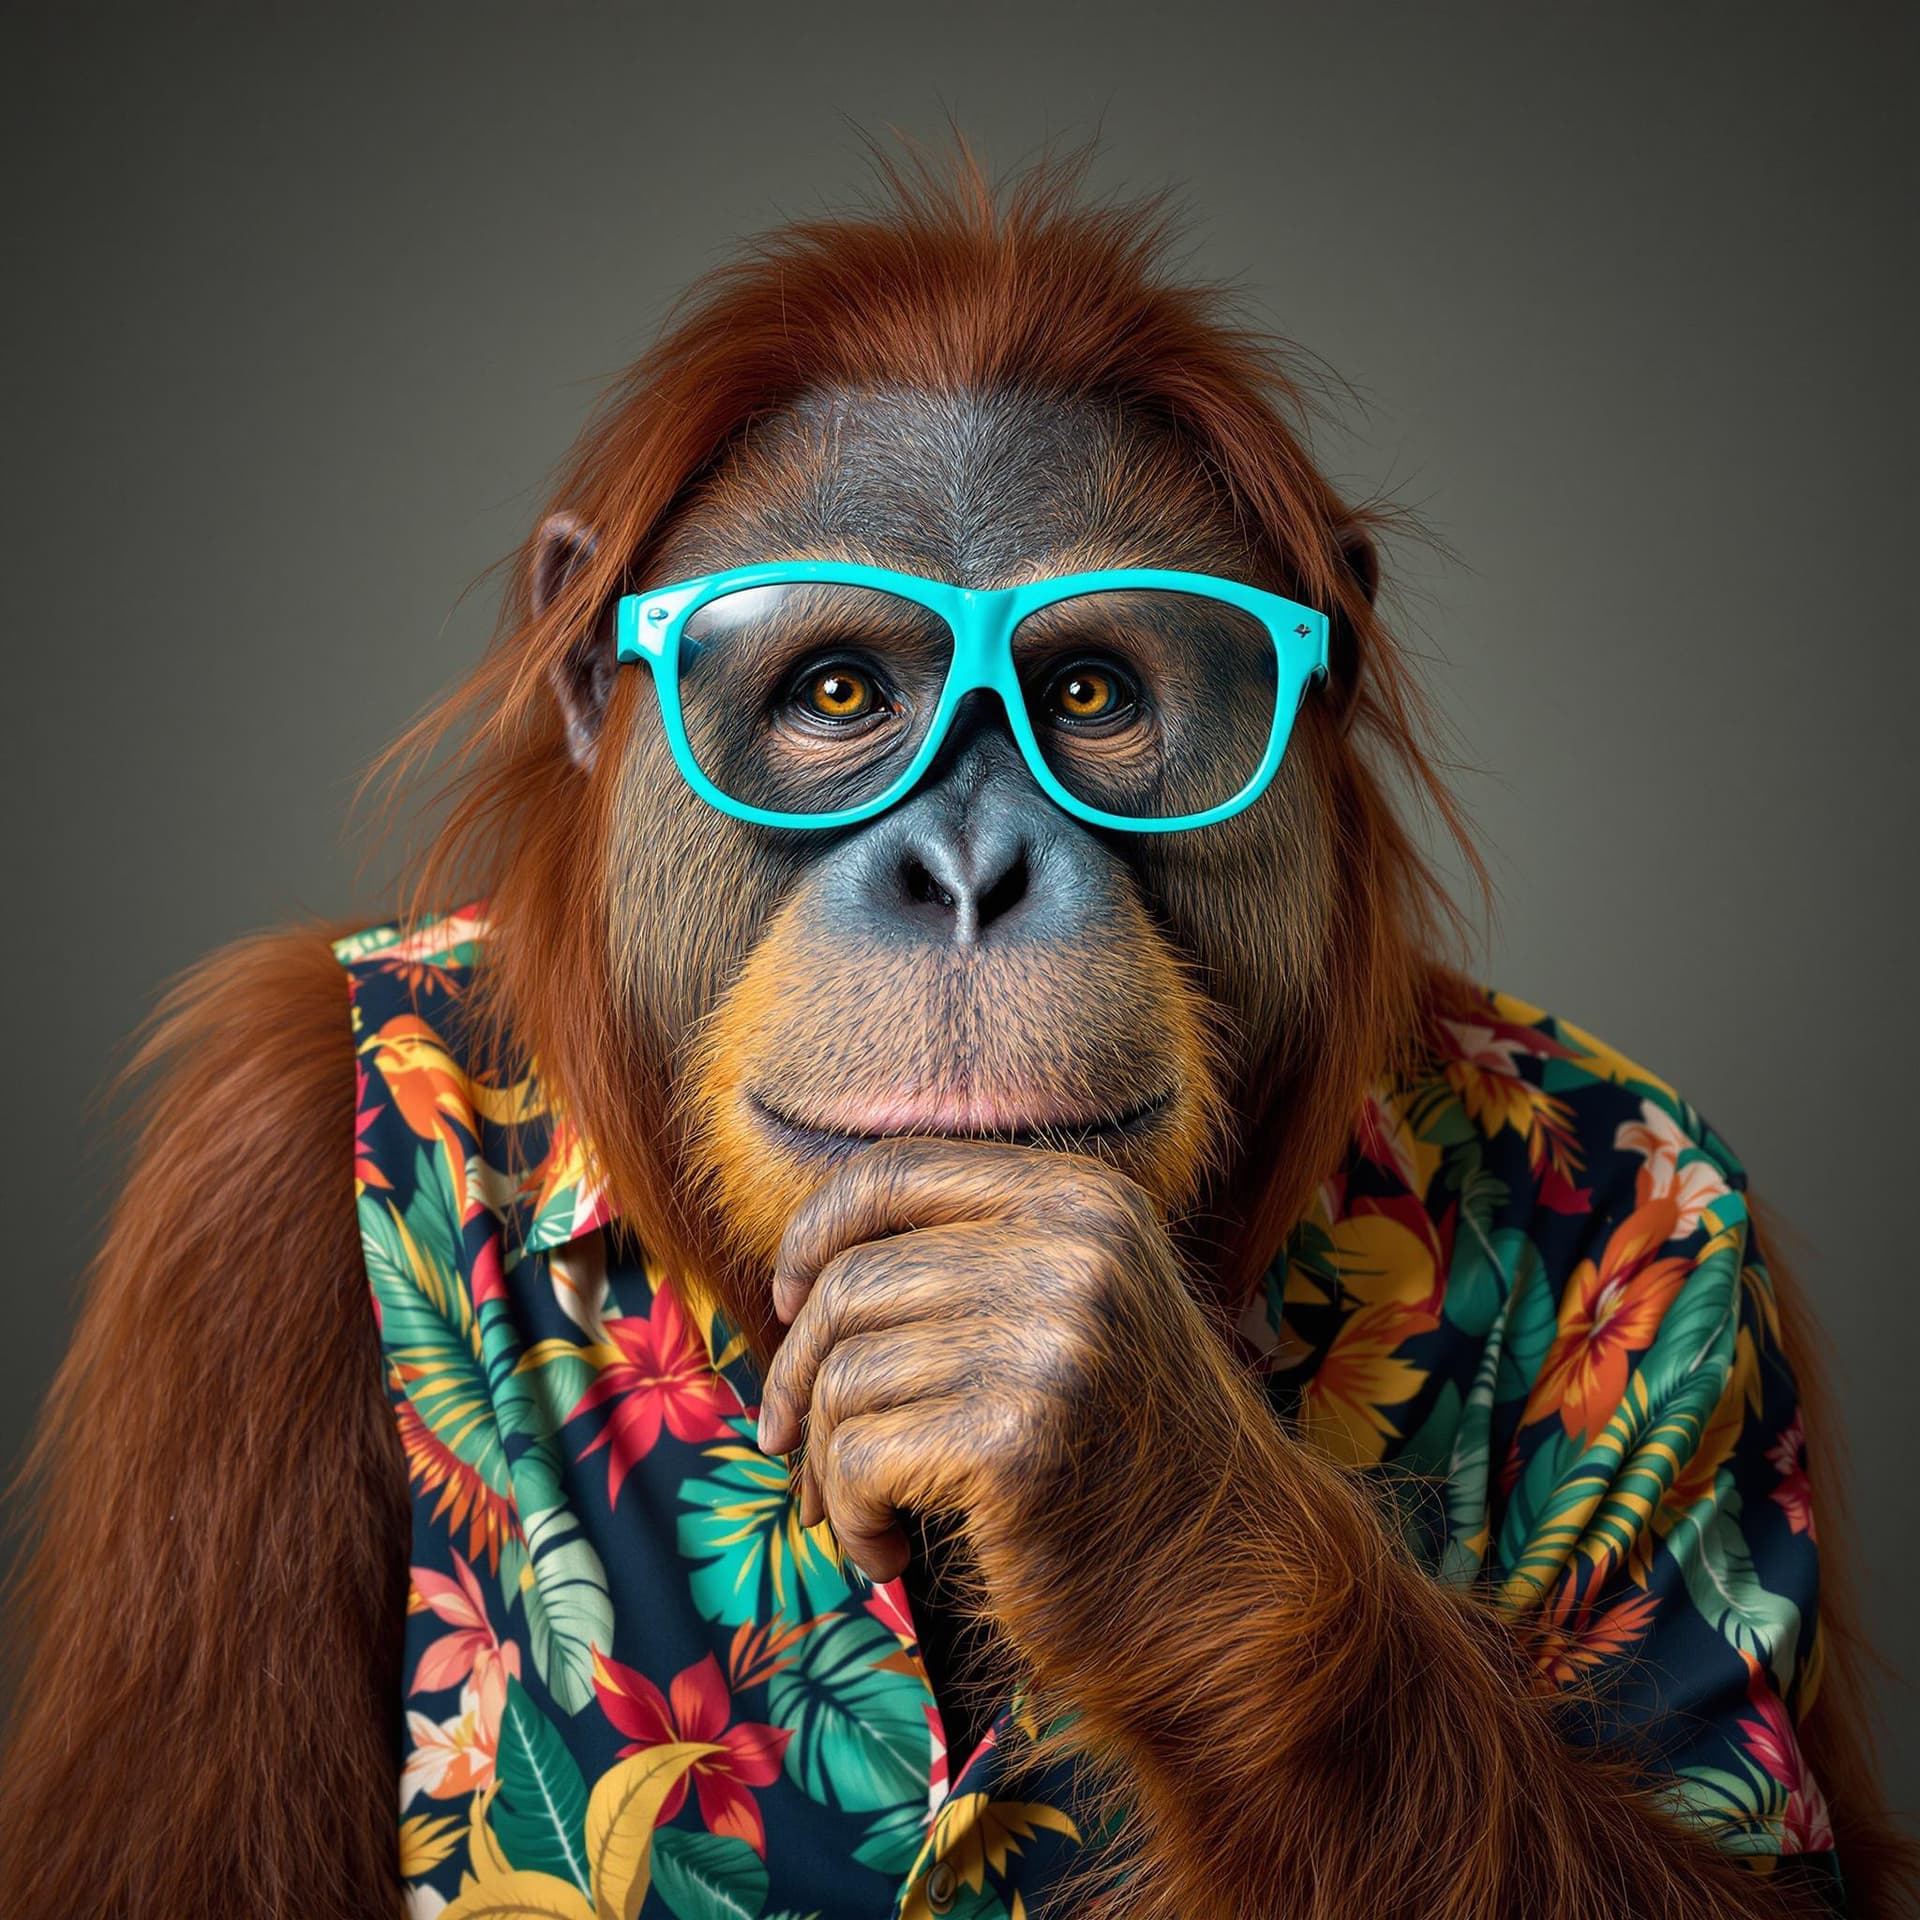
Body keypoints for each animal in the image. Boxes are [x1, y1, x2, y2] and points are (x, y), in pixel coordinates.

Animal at [1, 153, 1913, 1920]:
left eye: (1090, 696)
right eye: (841, 693)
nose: (971, 869)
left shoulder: (1688, 1249)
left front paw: (1118, 1445)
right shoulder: (245, 1206)